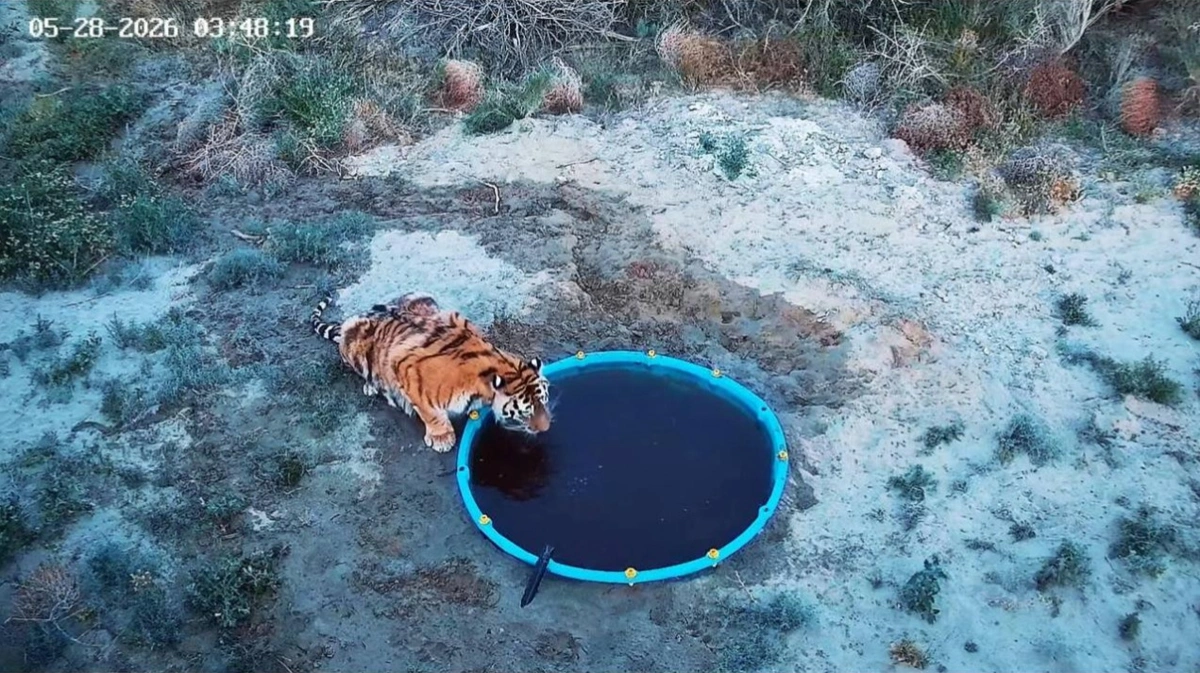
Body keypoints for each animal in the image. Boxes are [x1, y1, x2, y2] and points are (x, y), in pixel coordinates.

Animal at [309, 292, 551, 452]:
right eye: (525, 412)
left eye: (544, 401)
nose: (547, 428)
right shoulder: (405, 367)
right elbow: (429, 412)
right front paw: (442, 437)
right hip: (353, 335)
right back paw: (371, 386)